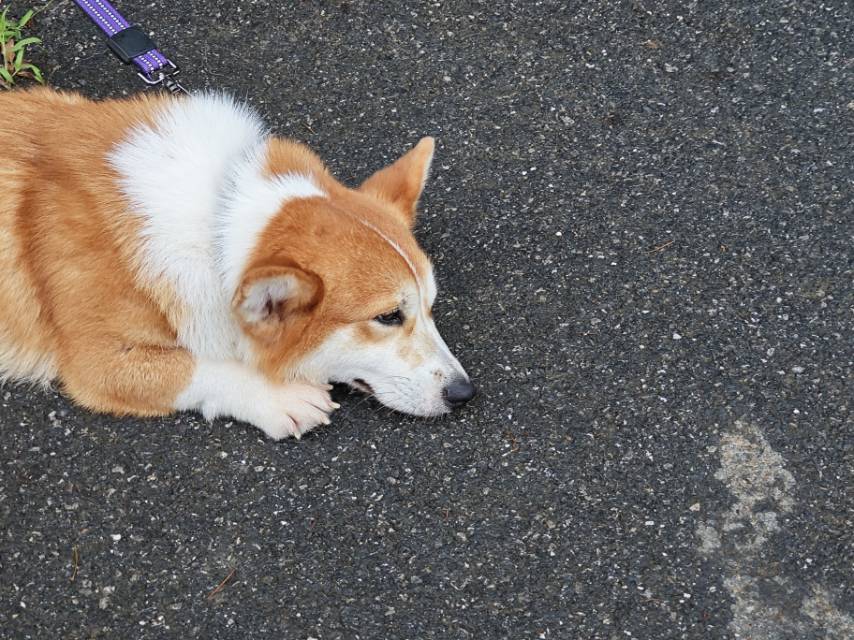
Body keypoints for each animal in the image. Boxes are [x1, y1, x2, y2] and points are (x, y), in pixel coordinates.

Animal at [0, 87, 474, 438]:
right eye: (389, 316)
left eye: (430, 306)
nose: (464, 393)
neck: (219, 222)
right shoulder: (100, 362)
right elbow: (194, 368)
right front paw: (279, 396)